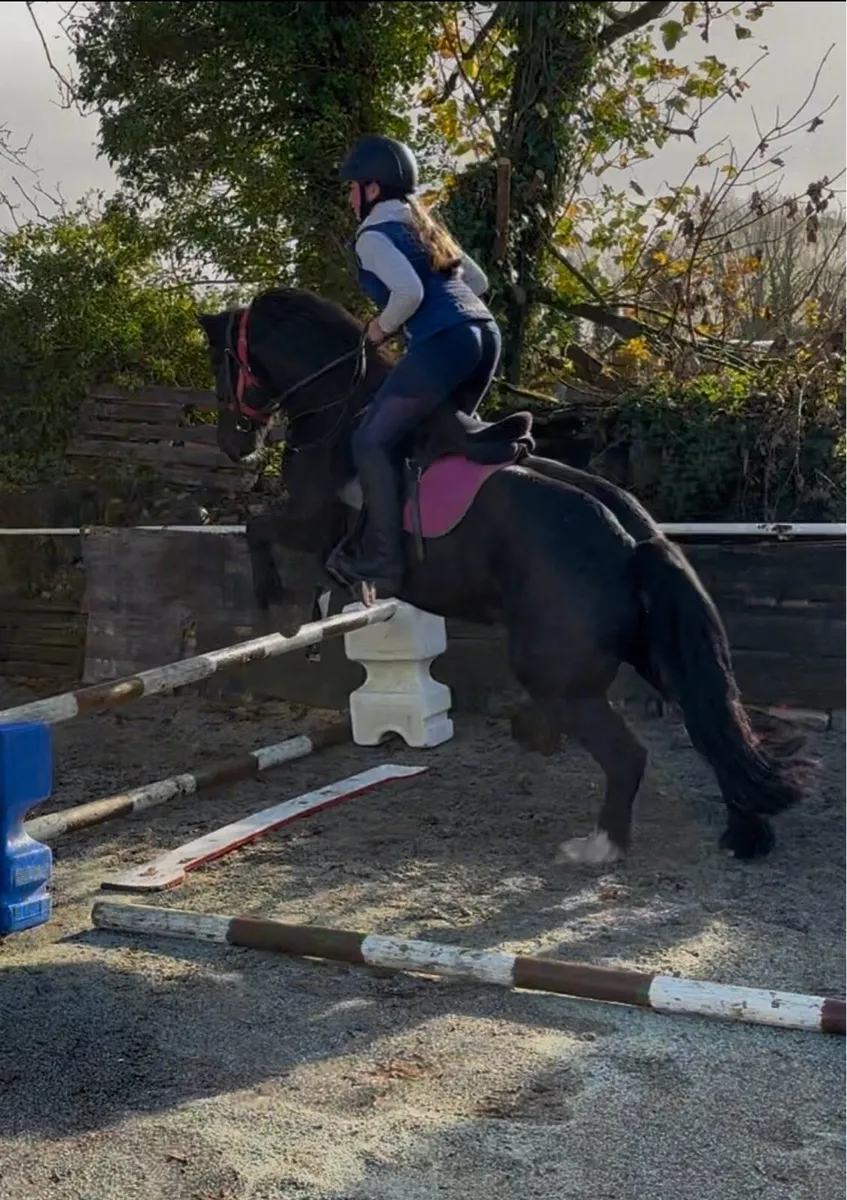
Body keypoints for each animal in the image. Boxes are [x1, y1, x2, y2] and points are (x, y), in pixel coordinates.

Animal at [197, 286, 808, 867]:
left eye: (220, 362)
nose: (233, 444)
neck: (335, 408)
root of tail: (633, 539)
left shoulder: (309, 521)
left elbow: (256, 528)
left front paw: (278, 609)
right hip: (652, 654)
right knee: (711, 723)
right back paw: (742, 829)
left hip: (557, 674)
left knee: (629, 753)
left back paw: (599, 846)